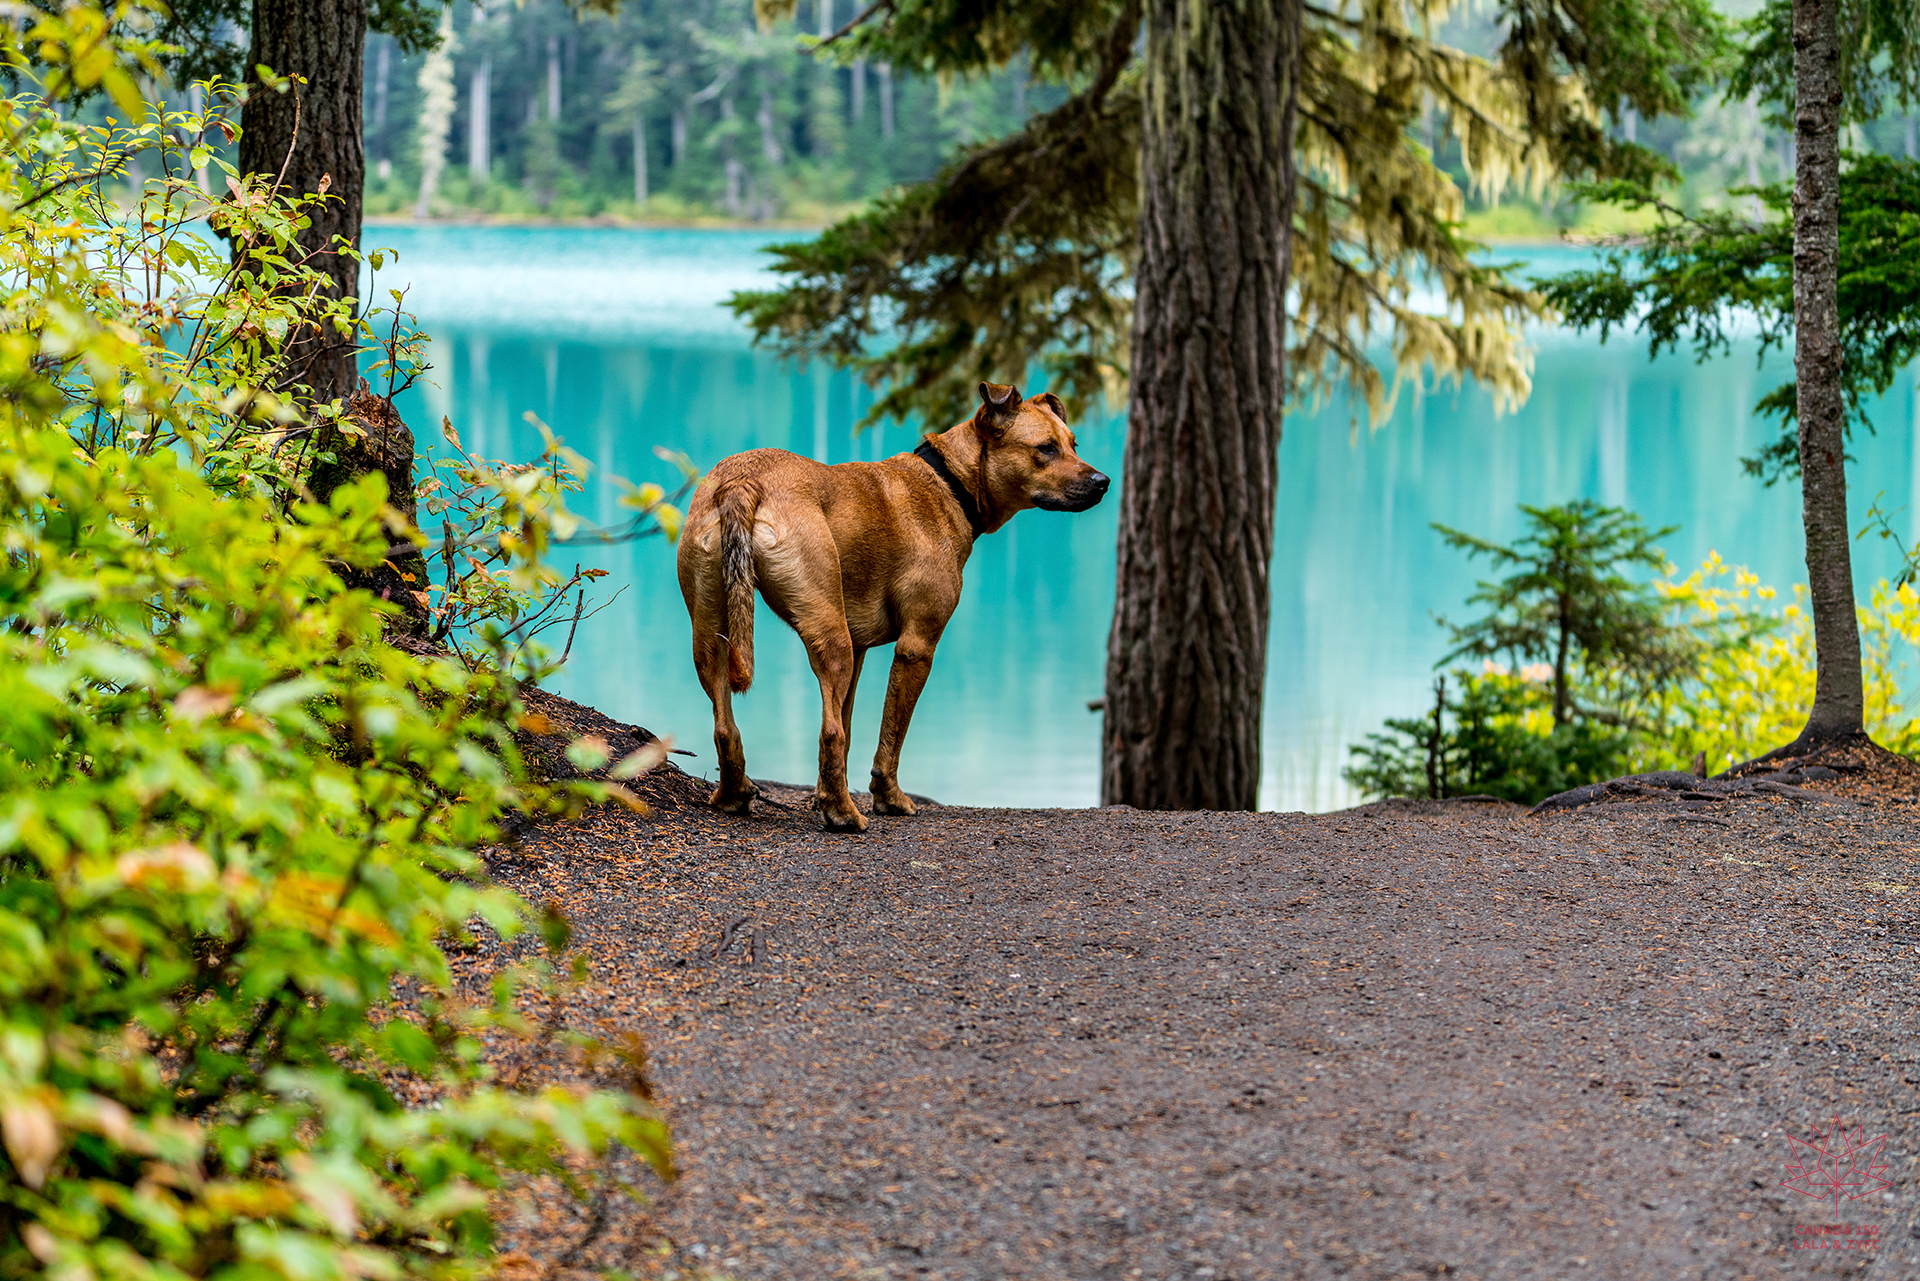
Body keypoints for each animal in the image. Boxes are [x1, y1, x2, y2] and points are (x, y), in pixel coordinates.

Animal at [675, 380, 1113, 833]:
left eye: (1073, 444)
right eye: (1045, 448)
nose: (1104, 481)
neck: (949, 482)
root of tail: (742, 480)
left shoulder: (860, 651)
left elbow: (848, 728)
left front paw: (823, 793)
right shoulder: (915, 647)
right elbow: (889, 735)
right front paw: (888, 798)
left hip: (713, 634)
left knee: (728, 726)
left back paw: (735, 795)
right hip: (831, 639)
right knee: (829, 732)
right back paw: (844, 815)